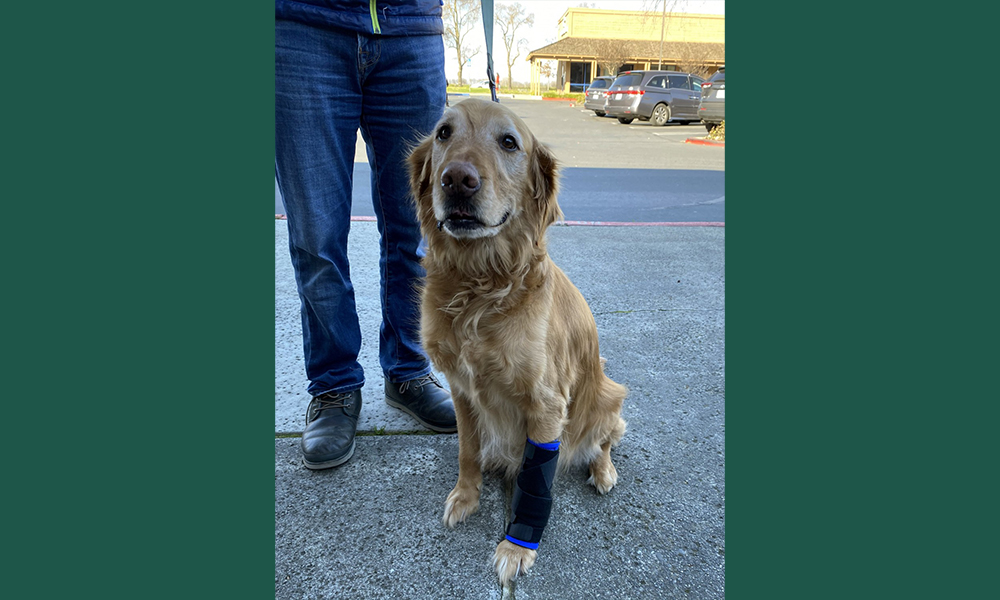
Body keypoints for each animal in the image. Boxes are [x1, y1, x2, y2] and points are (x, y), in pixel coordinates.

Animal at [406, 99, 624, 584]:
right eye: (444, 133)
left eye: (509, 142)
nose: (457, 179)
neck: (480, 285)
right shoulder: (462, 389)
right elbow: (467, 450)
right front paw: (466, 496)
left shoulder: (546, 405)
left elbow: (533, 483)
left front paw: (517, 545)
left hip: (609, 395)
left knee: (604, 438)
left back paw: (603, 470)